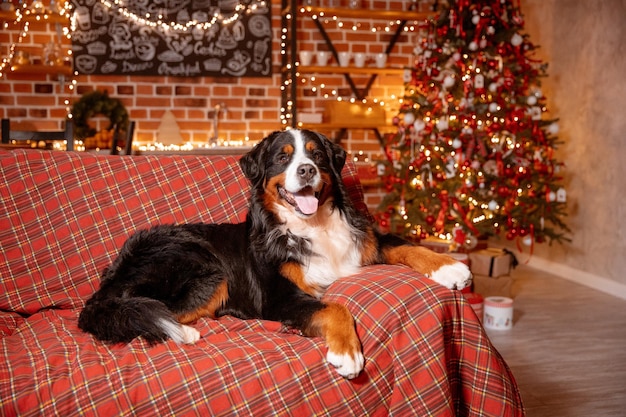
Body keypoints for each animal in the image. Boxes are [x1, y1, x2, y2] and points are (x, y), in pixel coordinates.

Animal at [78, 128, 468, 378]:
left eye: (316, 154)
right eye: (283, 158)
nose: (306, 170)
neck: (312, 226)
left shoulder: (365, 240)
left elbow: (406, 245)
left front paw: (450, 268)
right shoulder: (278, 298)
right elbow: (335, 307)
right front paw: (347, 353)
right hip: (205, 267)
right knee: (138, 313)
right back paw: (183, 333)